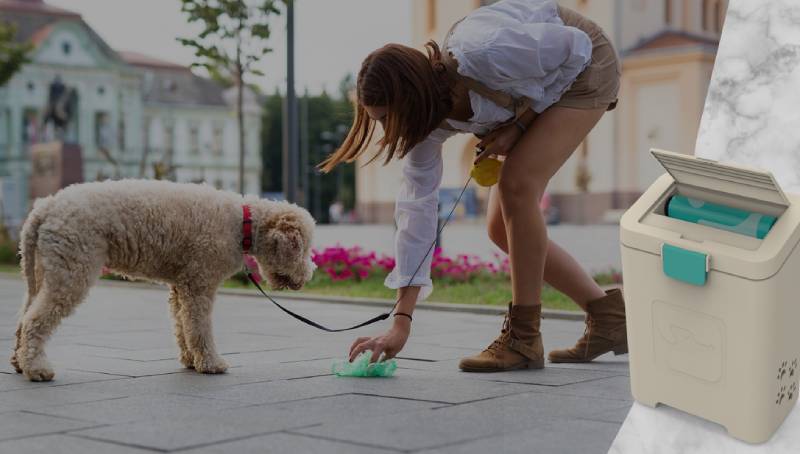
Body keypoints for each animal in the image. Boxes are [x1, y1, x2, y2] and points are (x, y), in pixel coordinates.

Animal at [10, 179, 316, 382]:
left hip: (44, 270)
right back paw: (37, 369)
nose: (309, 275)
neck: (243, 224)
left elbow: (182, 326)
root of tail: (45, 207)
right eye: (304, 248)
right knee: (36, 320)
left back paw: (19, 362)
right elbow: (199, 328)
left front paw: (190, 360)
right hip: (72, 269)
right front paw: (211, 363)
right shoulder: (200, 284)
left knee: (24, 317)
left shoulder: (181, 286)